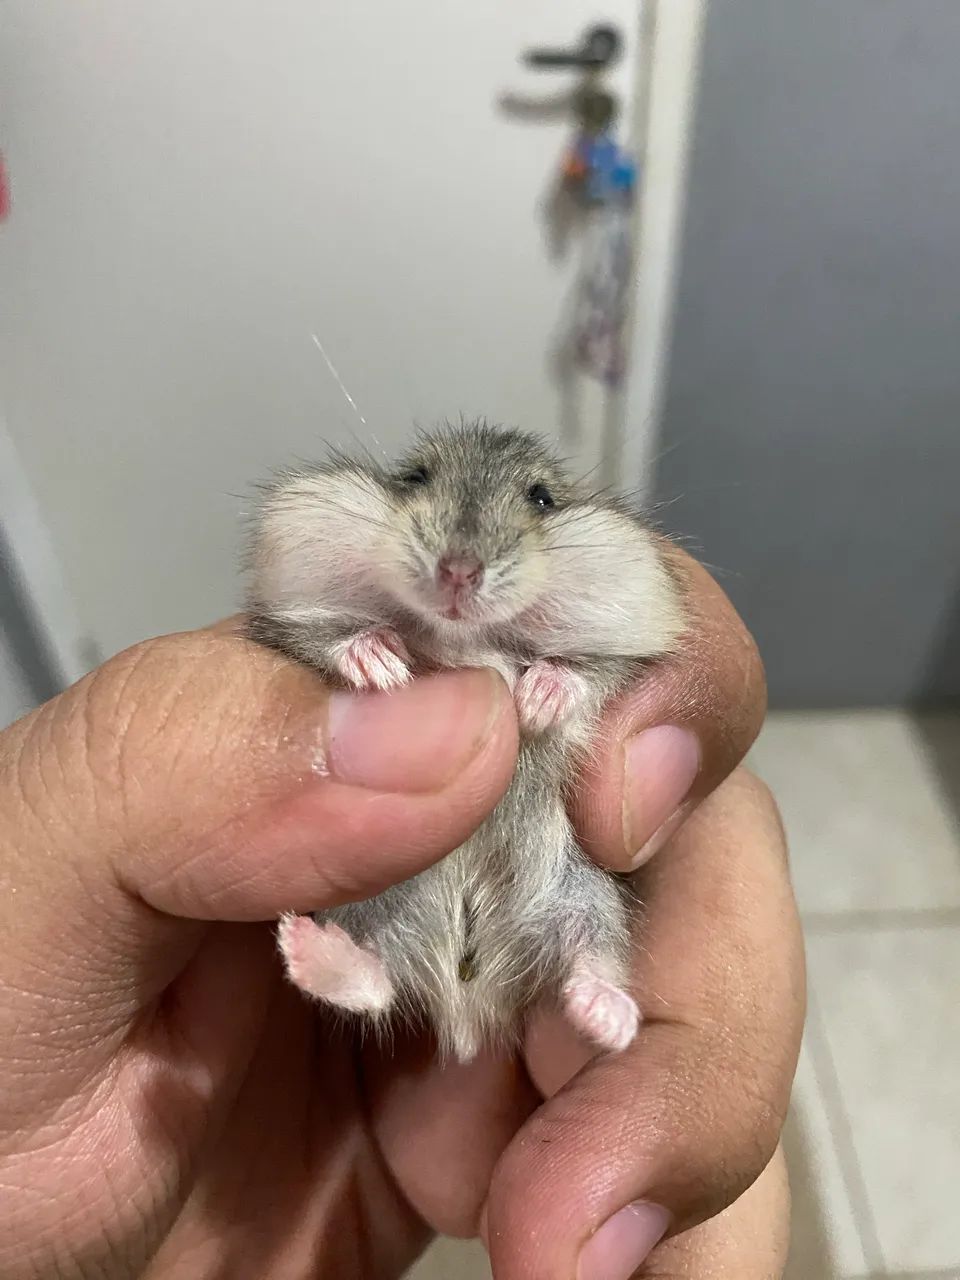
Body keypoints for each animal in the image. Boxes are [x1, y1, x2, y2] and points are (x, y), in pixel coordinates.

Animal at [246, 421, 685, 1062]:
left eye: (541, 498)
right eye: (414, 478)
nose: (458, 571)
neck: (465, 636)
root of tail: (468, 1007)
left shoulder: (623, 667)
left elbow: (586, 674)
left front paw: (533, 699)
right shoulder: (284, 627)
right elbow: (331, 639)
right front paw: (383, 667)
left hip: (584, 896)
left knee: (589, 956)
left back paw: (610, 1020)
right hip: (369, 896)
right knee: (375, 983)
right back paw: (309, 948)